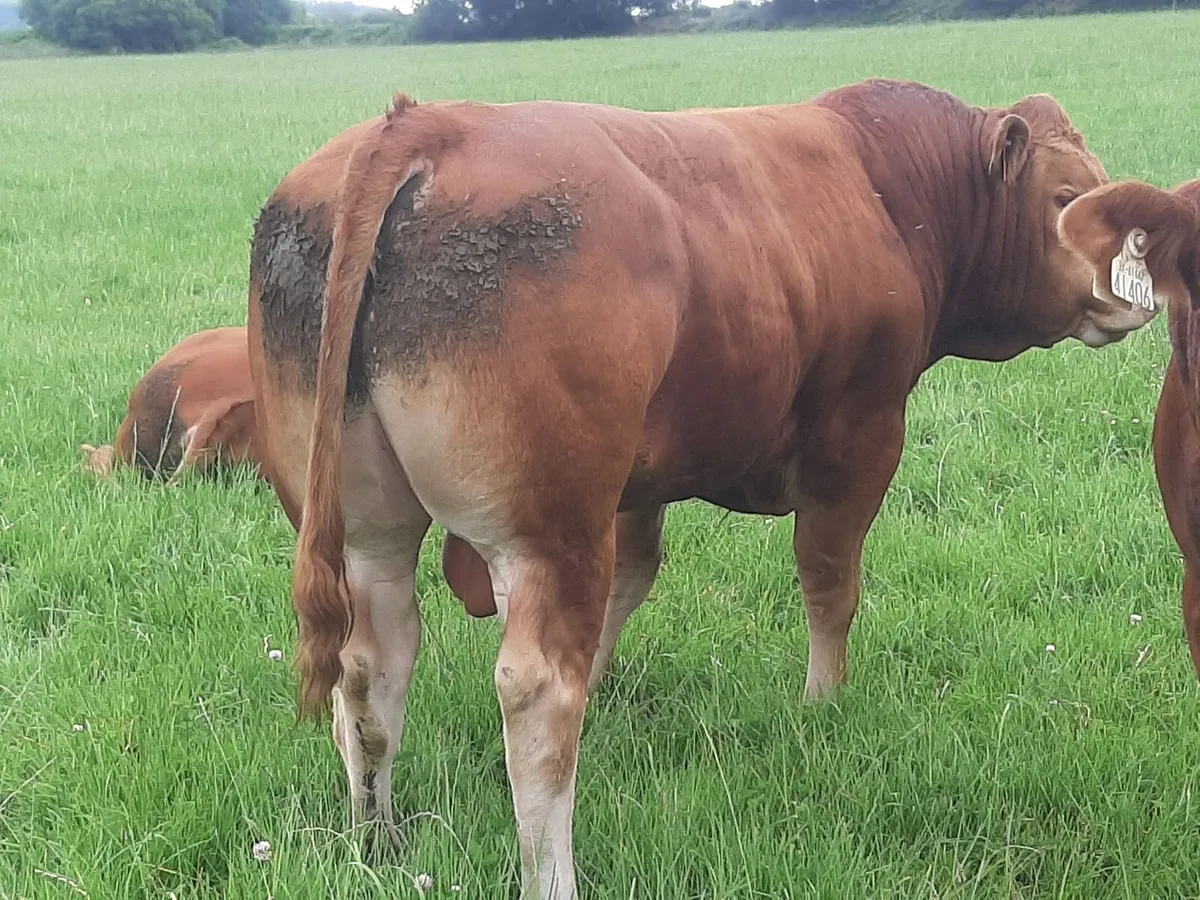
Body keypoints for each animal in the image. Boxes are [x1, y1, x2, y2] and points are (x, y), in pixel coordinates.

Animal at [247, 80, 1158, 898]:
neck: (888, 192)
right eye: (1067, 198)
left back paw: (378, 839)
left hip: (368, 534)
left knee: (371, 666)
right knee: (537, 693)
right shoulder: (859, 442)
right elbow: (830, 584)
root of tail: (430, 124)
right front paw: (823, 703)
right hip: (548, 534)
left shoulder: (637, 485)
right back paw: (550, 876)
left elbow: (633, 579)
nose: (1136, 295)